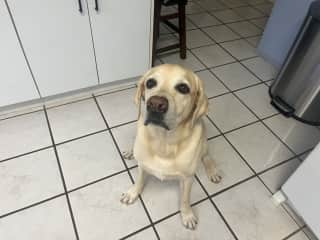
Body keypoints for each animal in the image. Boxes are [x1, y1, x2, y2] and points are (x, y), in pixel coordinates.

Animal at [120, 63, 220, 229]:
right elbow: (139, 181)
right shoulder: (142, 166)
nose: (155, 104)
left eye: (183, 88)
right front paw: (132, 193)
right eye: (150, 83)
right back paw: (129, 152)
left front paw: (187, 215)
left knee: (206, 156)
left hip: (204, 141)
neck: (163, 142)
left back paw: (213, 171)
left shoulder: (188, 178)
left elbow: (185, 199)